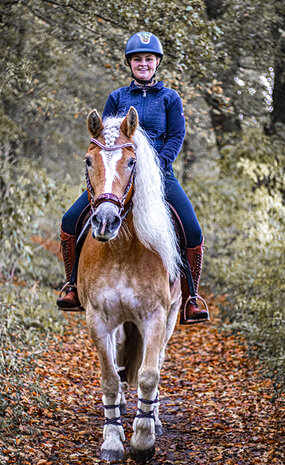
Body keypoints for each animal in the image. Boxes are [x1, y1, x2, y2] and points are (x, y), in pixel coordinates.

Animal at [76, 107, 181, 462]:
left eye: (132, 162)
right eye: (89, 160)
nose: (105, 221)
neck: (120, 249)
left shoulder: (155, 317)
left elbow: (149, 375)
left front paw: (143, 440)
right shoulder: (98, 319)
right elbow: (110, 378)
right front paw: (112, 440)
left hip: (172, 315)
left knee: (156, 361)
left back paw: (154, 419)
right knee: (120, 362)